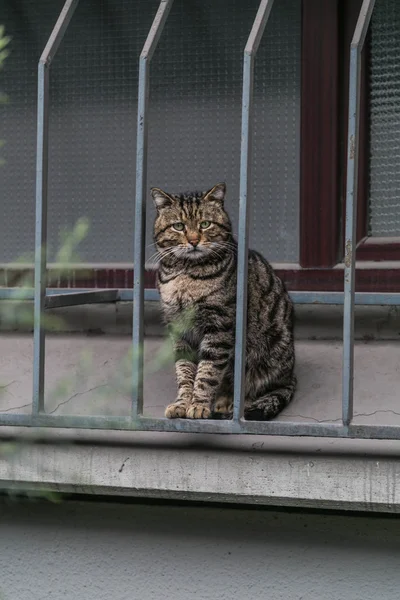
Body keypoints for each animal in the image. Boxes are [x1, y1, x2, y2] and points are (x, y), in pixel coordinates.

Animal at [152, 180, 296, 420]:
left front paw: (199, 405)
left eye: (205, 224)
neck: (185, 274)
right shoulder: (178, 328)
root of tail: (291, 373)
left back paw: (231, 401)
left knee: (258, 388)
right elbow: (184, 370)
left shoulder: (219, 327)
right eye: (178, 226)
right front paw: (182, 402)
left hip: (271, 350)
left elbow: (207, 372)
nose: (193, 240)